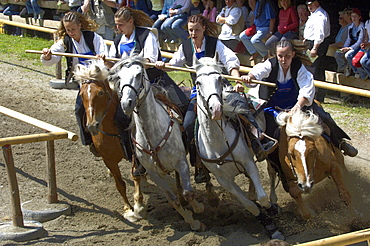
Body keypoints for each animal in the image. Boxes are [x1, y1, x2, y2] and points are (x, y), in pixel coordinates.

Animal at [74, 61, 145, 221]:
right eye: (81, 94)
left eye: (100, 93)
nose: (92, 125)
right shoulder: (108, 159)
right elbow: (120, 184)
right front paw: (128, 209)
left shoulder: (134, 153)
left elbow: (136, 176)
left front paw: (138, 205)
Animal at [110, 56, 205, 232]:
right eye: (119, 77)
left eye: (139, 74)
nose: (127, 103)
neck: (152, 135)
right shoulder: (153, 173)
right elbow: (173, 200)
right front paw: (191, 220)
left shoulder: (182, 163)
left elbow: (189, 193)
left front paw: (198, 209)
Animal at [194, 54, 284, 240]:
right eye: (198, 82)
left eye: (220, 78)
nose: (216, 109)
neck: (218, 143)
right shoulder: (224, 181)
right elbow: (249, 204)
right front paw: (269, 225)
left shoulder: (248, 163)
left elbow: (262, 198)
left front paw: (271, 211)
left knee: (271, 173)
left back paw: (273, 199)